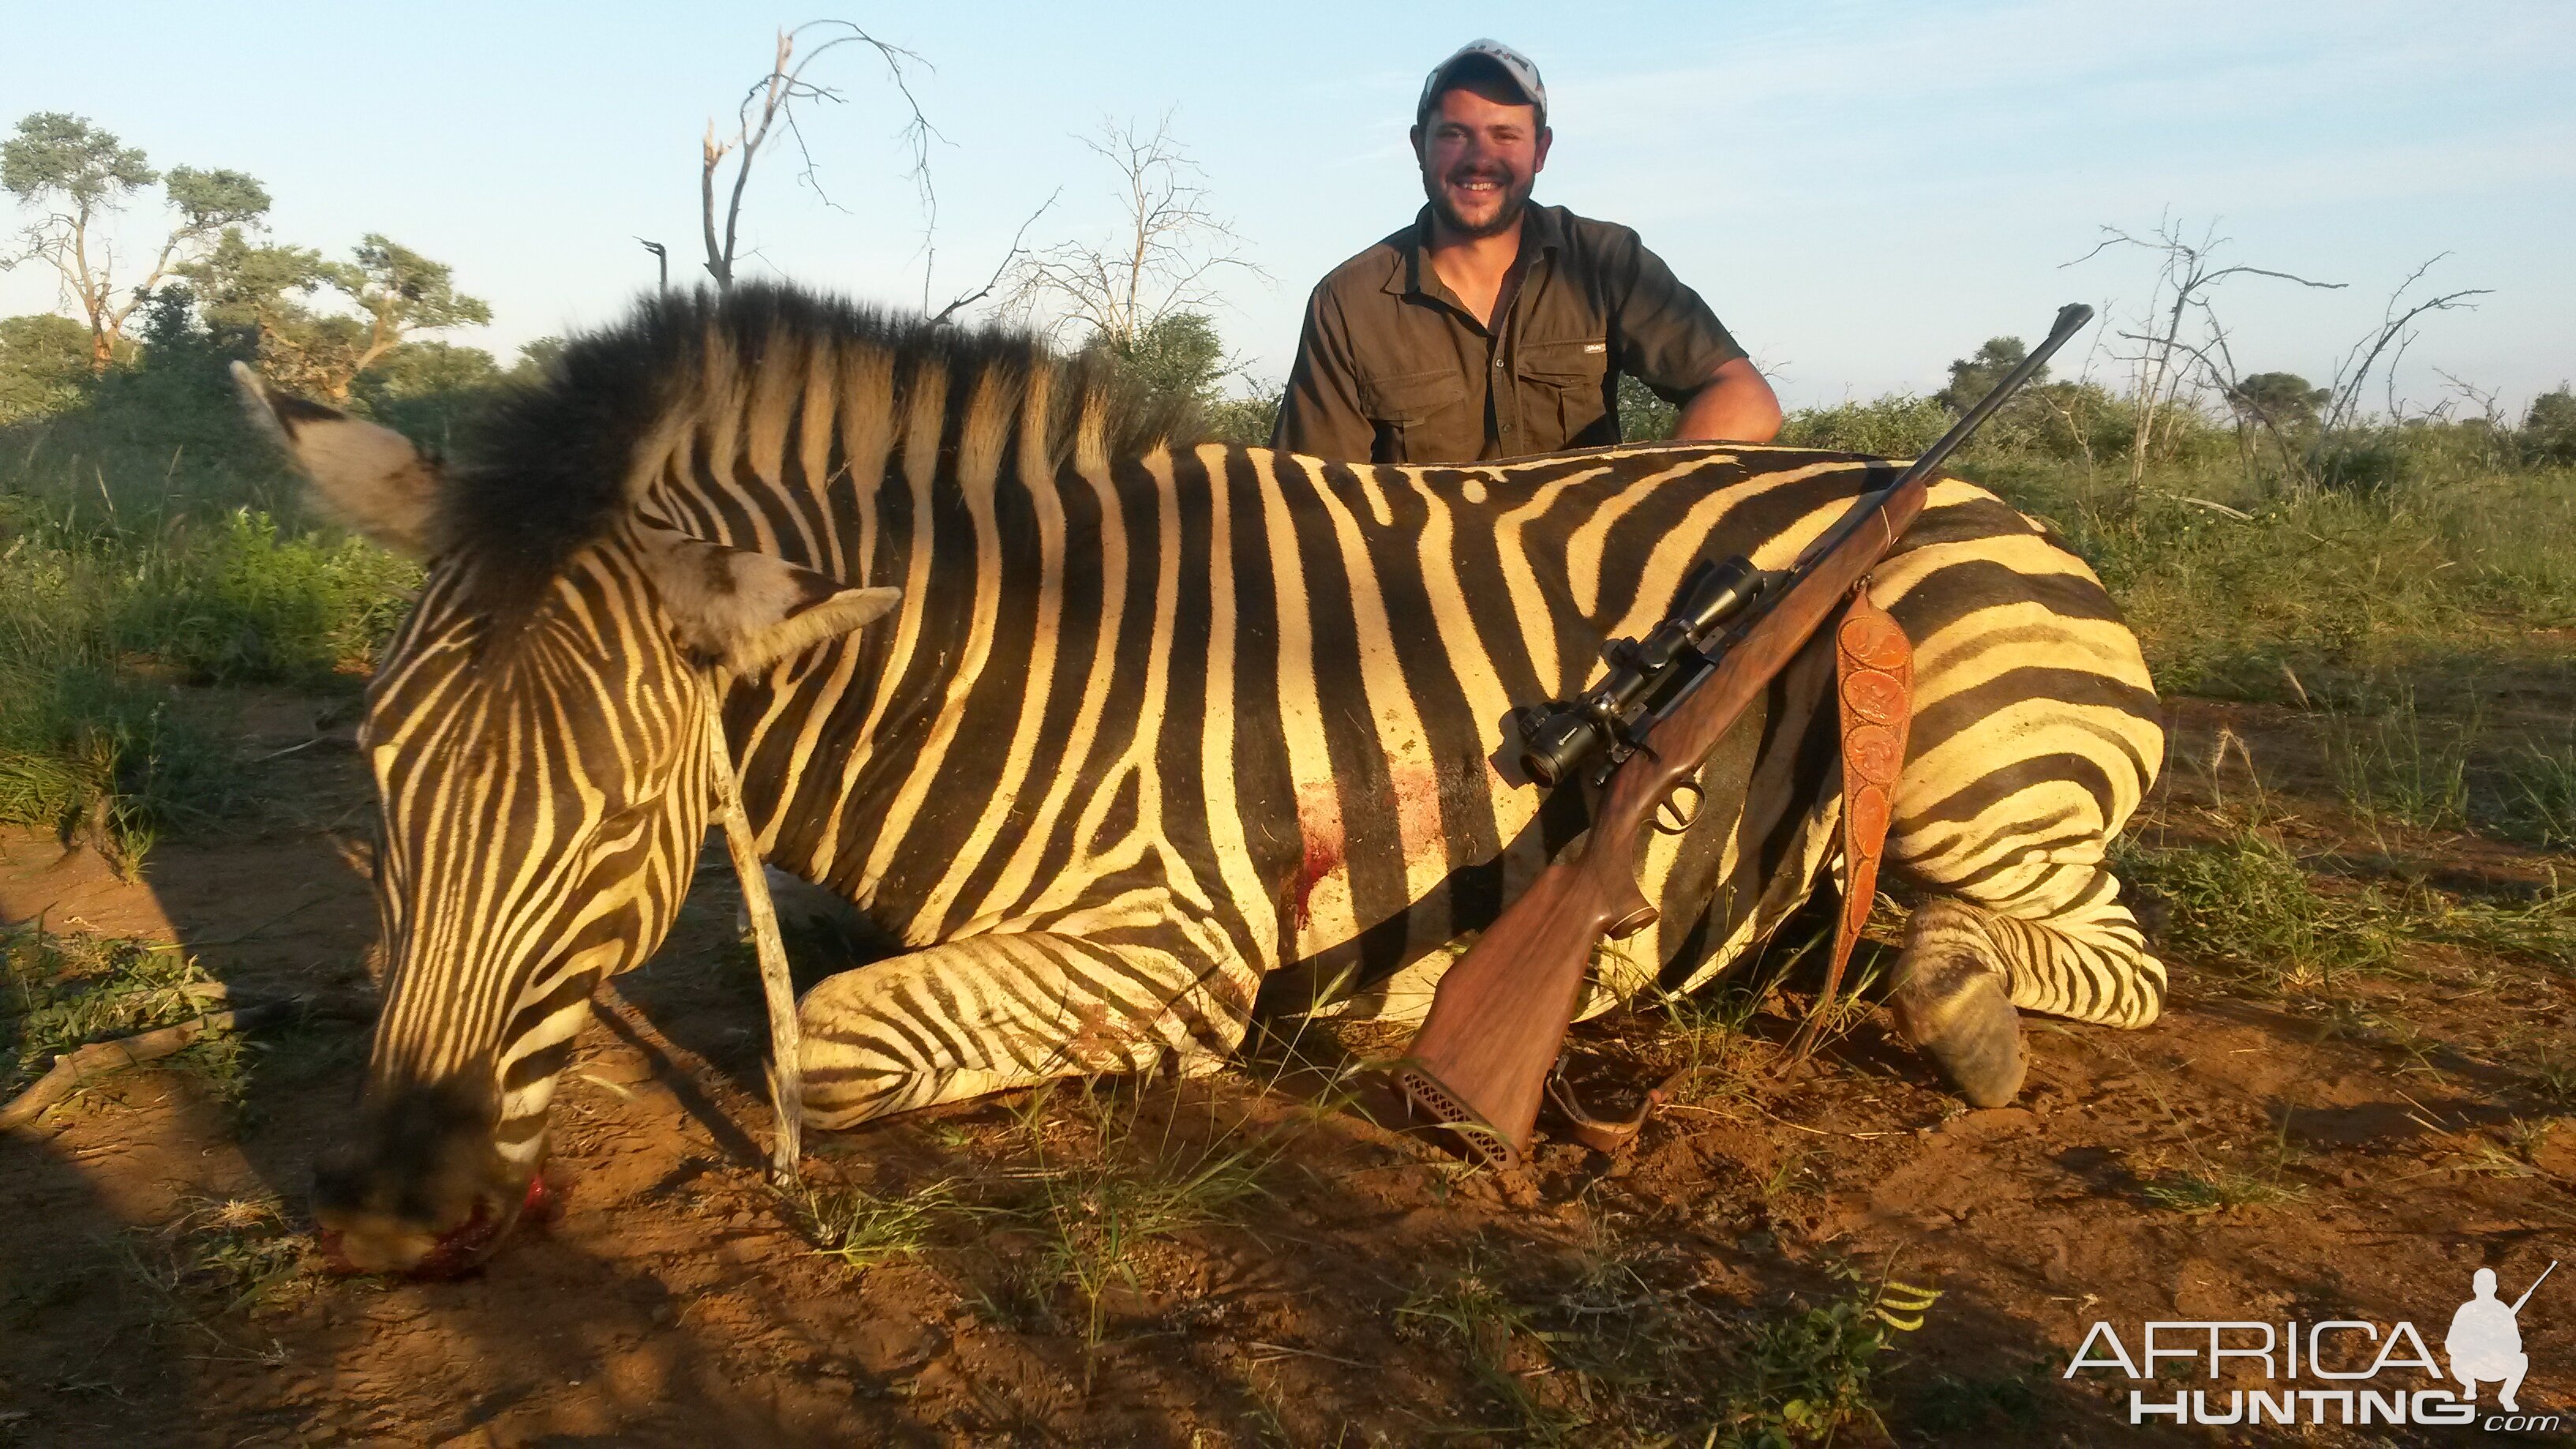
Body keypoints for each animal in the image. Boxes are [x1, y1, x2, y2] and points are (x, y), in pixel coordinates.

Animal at [242, 279, 2163, 1263]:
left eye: (626, 813)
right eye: (378, 769)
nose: (383, 1216)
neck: (1001, 665)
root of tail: (1996, 502)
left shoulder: (1176, 945)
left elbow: (832, 1041)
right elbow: (794, 976)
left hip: (1972, 778)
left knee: (2065, 953)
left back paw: (1952, 1003)